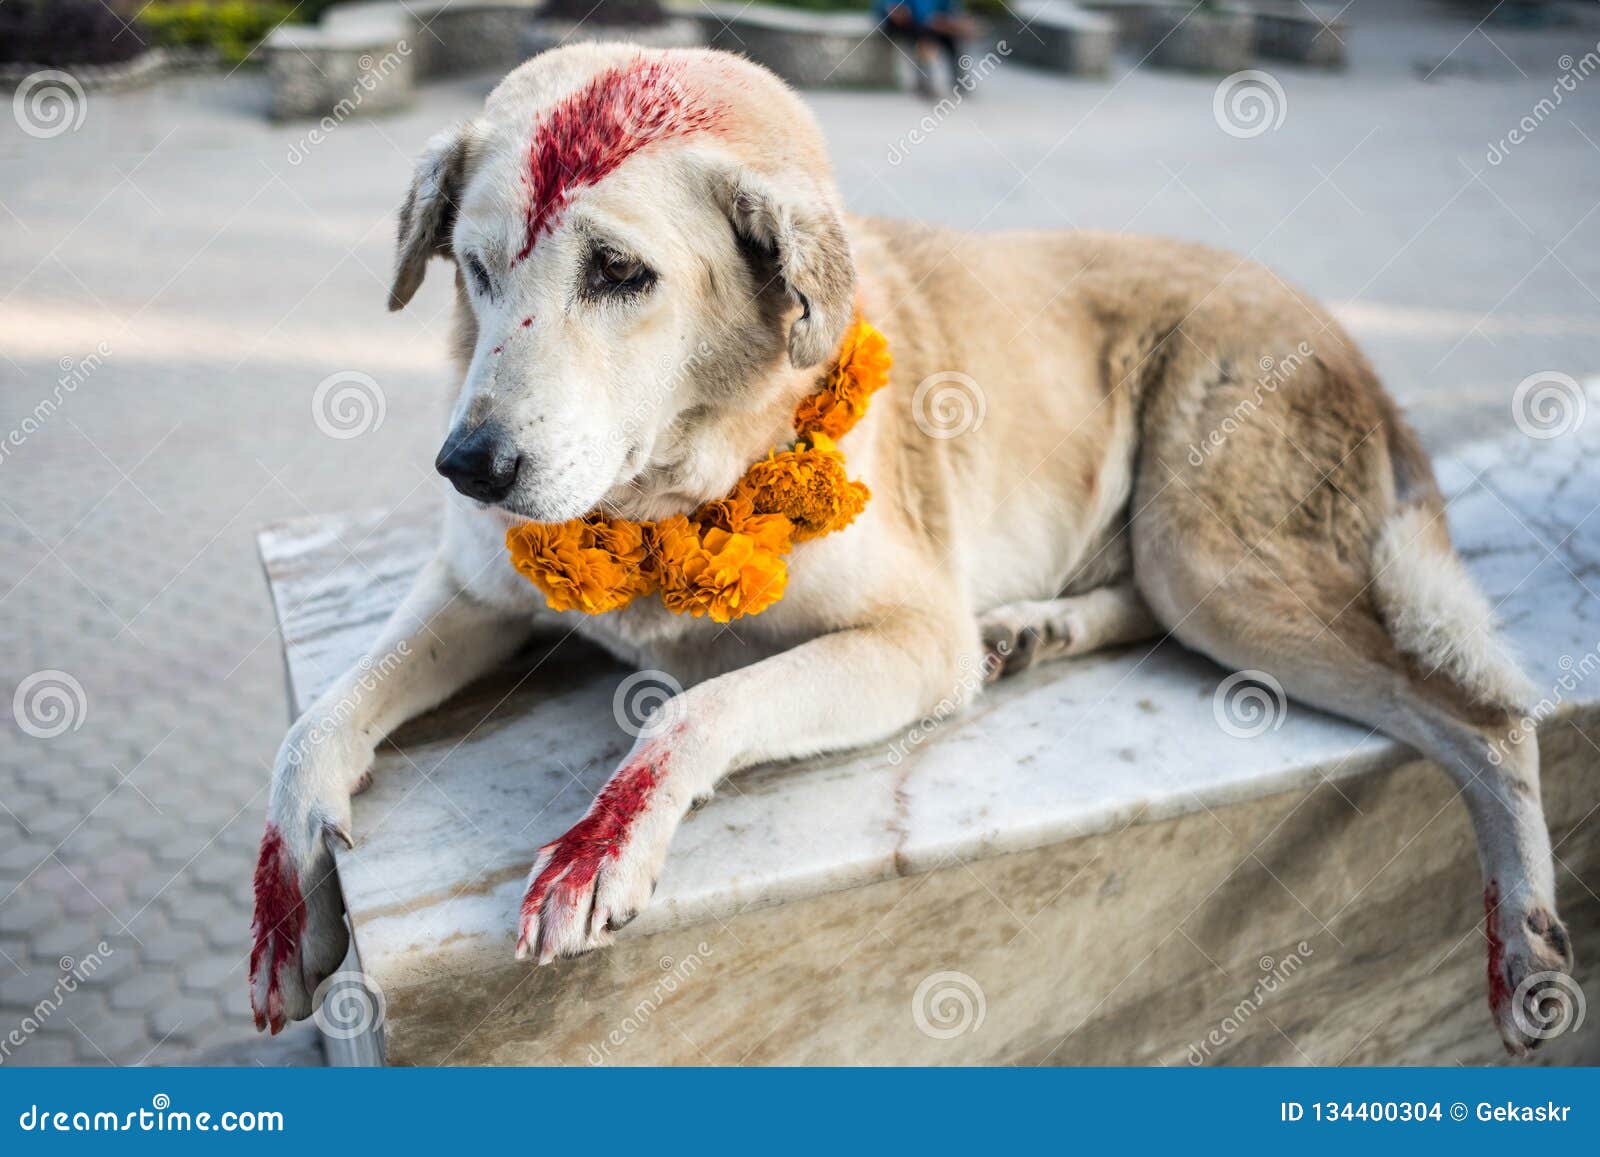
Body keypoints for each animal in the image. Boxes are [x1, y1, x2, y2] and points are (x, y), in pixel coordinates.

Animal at [249, 43, 1574, 1056]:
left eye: (619, 272)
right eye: (475, 269)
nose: (468, 466)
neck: (665, 492)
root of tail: (1341, 332)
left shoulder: (910, 637)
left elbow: (696, 707)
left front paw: (603, 841)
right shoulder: (473, 590)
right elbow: (313, 725)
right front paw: (289, 891)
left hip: (1216, 559)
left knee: (1484, 720)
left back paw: (1528, 942)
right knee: (1140, 602)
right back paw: (1034, 627)